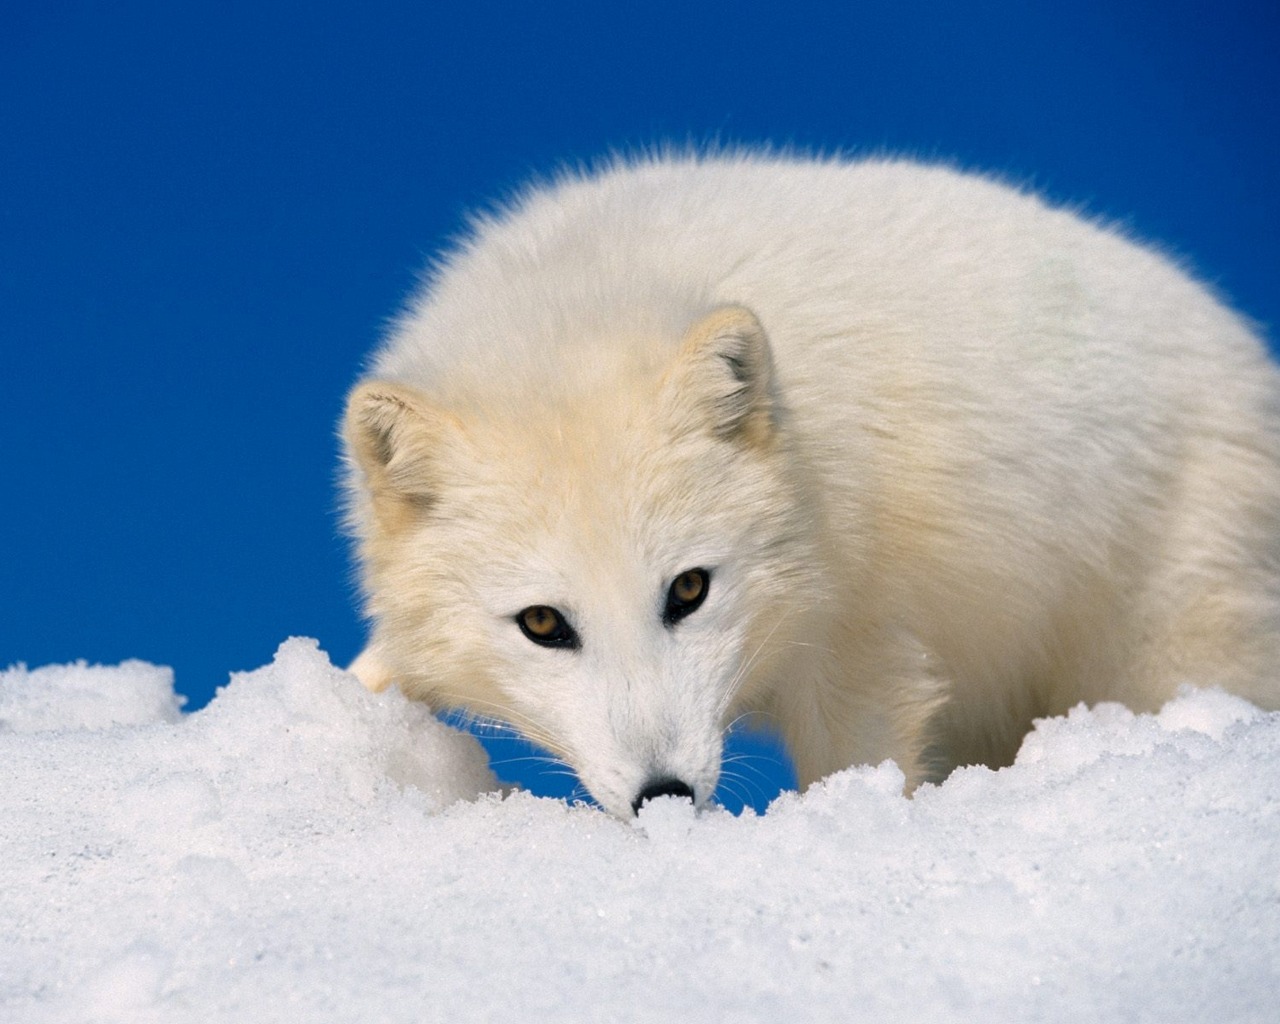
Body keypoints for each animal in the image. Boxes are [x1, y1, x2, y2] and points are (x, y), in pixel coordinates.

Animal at [340, 154, 1280, 814]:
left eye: (689, 589)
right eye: (542, 624)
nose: (663, 797)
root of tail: (1248, 358)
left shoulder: (864, 648)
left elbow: (866, 761)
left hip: (1163, 651)